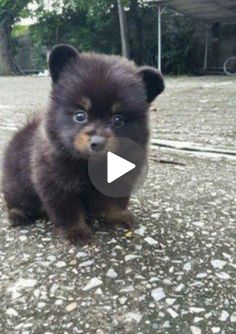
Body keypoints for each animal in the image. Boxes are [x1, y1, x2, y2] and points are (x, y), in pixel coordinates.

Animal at [1, 45, 164, 243]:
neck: (89, 164)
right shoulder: (57, 183)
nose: (97, 142)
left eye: (118, 120)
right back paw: (17, 215)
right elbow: (68, 211)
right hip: (15, 184)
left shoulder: (120, 179)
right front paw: (76, 232)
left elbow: (115, 202)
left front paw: (119, 217)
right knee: (17, 201)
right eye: (80, 116)